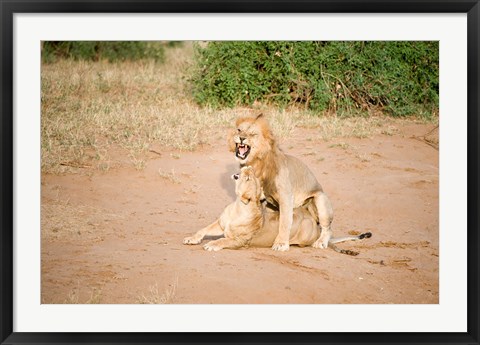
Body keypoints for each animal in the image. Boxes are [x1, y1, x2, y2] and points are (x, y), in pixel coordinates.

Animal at [184, 165, 372, 253]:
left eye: (249, 178)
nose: (248, 167)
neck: (238, 206)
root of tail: (313, 223)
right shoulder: (220, 224)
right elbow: (203, 230)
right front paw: (191, 239)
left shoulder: (240, 241)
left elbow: (223, 240)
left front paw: (211, 245)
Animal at [229, 113, 334, 250]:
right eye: (239, 130)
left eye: (252, 134)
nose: (241, 138)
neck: (257, 163)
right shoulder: (262, 199)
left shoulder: (286, 196)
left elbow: (284, 222)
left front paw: (281, 244)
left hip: (320, 198)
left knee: (328, 228)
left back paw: (320, 242)